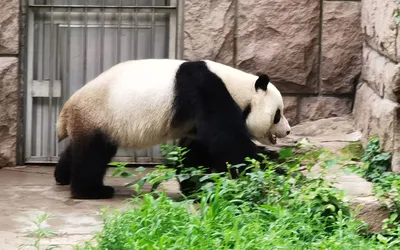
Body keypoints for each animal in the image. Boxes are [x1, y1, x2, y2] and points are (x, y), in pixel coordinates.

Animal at [54, 58, 290, 199]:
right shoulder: (205, 88)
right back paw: (92, 190)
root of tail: (67, 109)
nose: (288, 131)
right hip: (100, 114)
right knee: (92, 154)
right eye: (278, 114)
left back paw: (62, 176)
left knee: (80, 148)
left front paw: (194, 187)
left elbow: (197, 149)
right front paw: (276, 173)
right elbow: (228, 141)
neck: (237, 87)